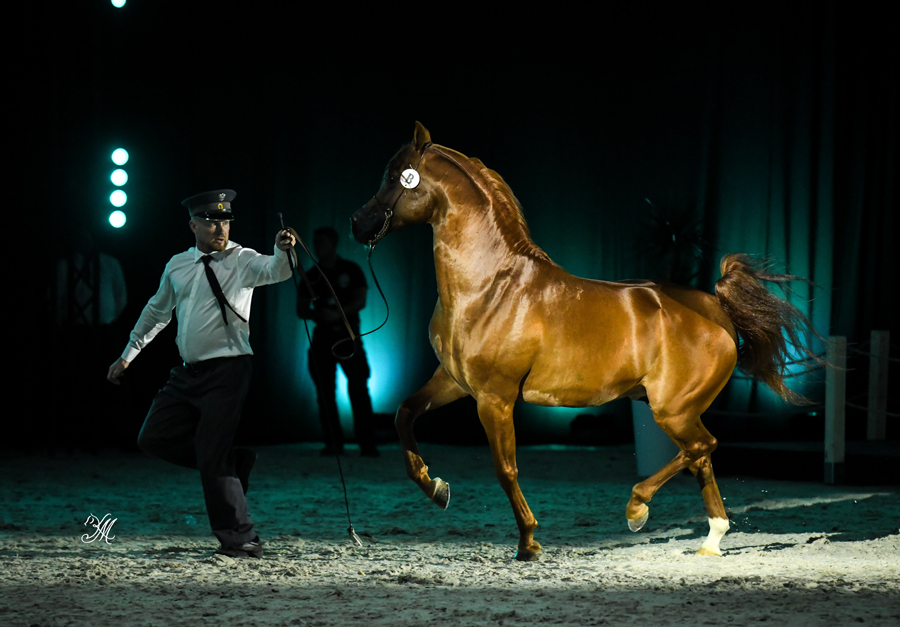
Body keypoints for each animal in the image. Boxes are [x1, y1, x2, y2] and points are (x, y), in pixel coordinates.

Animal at [352, 122, 824, 564]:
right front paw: (437, 488)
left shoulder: (494, 398)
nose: (358, 223)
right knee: (700, 457)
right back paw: (711, 540)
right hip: (679, 410)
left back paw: (638, 509)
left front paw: (528, 543)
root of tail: (716, 307)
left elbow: (506, 469)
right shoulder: (454, 382)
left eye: (396, 177)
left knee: (701, 448)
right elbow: (403, 414)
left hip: (671, 409)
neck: (489, 287)